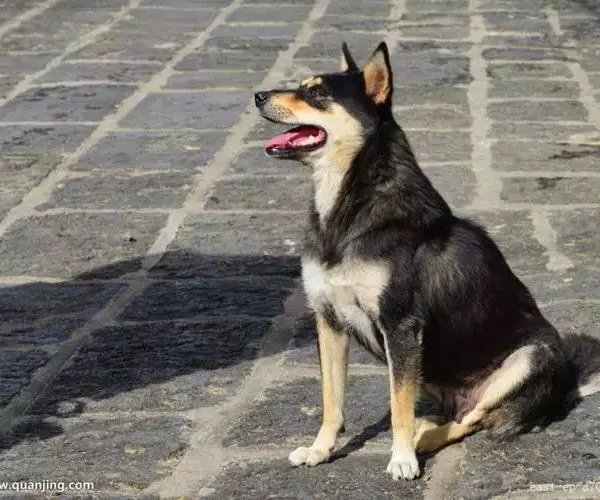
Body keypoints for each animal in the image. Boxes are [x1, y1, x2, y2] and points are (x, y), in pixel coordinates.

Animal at [254, 41, 600, 480]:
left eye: (317, 93)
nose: (257, 95)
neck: (349, 203)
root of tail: (567, 386)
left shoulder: (400, 326)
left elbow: (398, 406)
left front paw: (402, 459)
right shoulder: (328, 321)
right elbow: (332, 400)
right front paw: (320, 450)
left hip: (527, 359)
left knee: (473, 420)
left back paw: (422, 440)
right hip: (429, 370)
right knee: (456, 413)